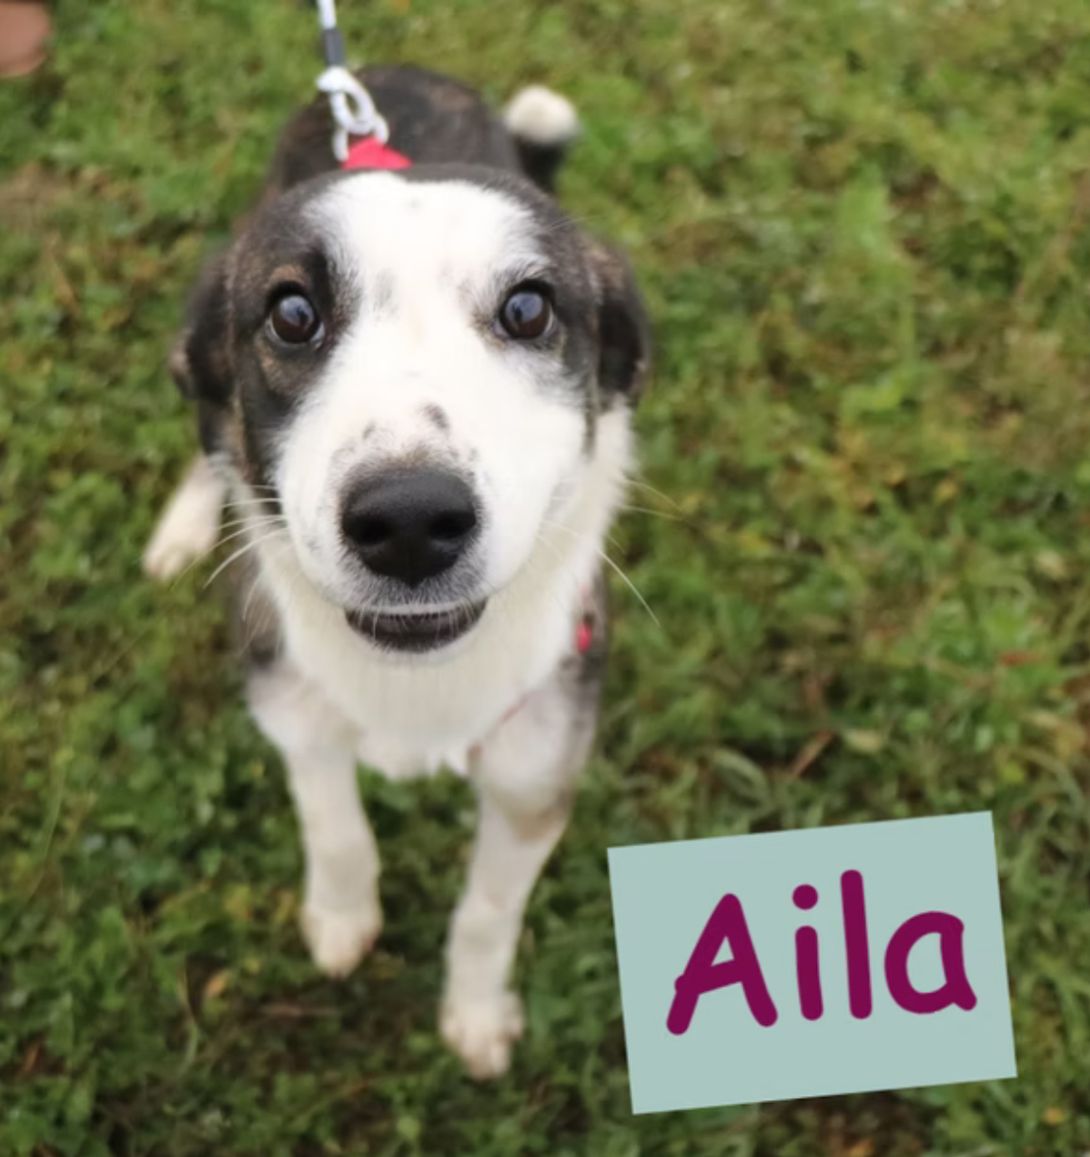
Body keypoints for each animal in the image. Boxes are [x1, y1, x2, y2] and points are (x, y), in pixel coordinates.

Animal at [144, 65, 649, 1078]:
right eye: (292, 313)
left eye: (529, 308)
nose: (410, 522)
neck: (418, 682)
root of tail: (385, 75)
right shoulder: (292, 706)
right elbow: (336, 829)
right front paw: (341, 920)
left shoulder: (537, 771)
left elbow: (489, 912)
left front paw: (476, 1013)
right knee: (207, 438)